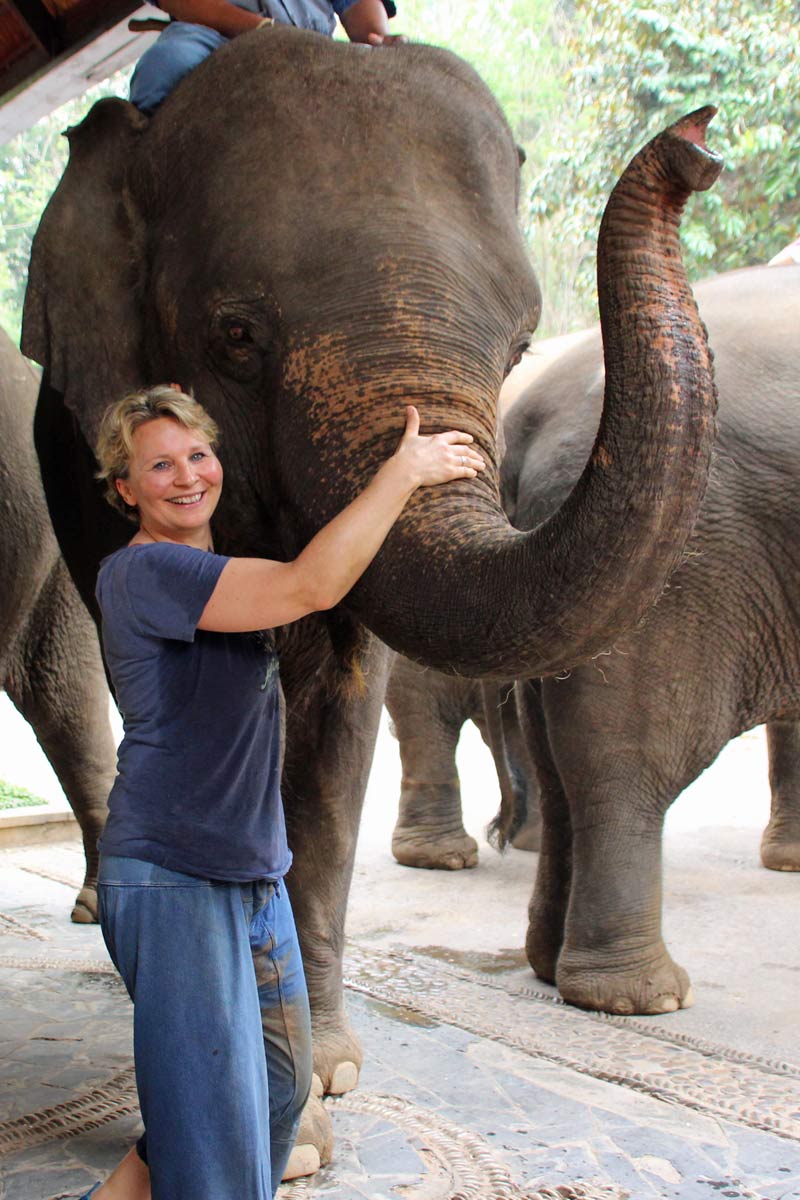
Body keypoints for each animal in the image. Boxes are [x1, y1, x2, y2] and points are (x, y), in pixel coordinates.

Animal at [20, 26, 722, 1161]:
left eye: (522, 344)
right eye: (236, 337)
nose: (697, 144)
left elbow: (342, 710)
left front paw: (328, 1070)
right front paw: (288, 1116)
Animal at [493, 264, 800, 1016]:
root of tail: (525, 421)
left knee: (552, 758)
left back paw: (550, 968)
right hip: (683, 575)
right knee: (630, 760)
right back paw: (640, 997)